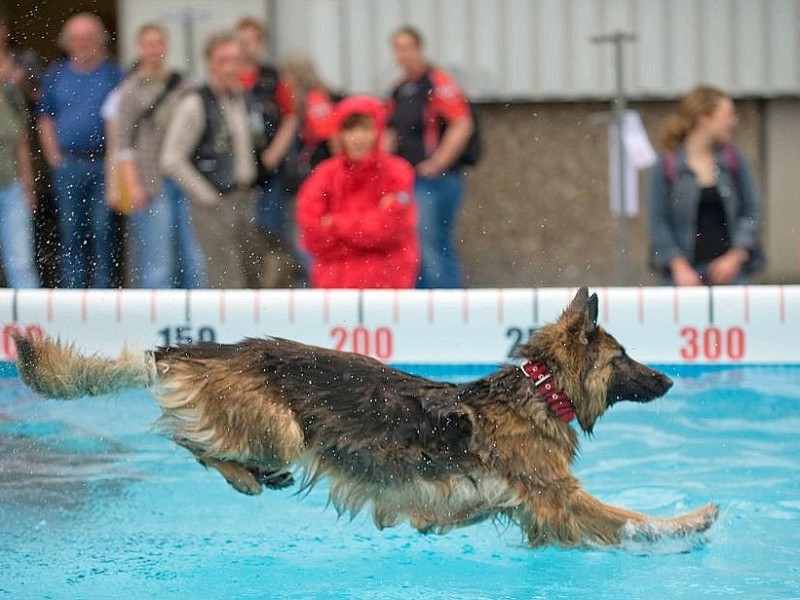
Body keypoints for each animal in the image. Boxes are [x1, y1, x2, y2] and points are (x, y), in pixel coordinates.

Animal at [12, 288, 720, 548]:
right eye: (624, 357)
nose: (670, 378)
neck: (540, 390)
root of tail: (192, 347)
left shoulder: (532, 513)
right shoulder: (561, 499)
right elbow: (628, 519)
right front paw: (690, 522)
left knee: (194, 440)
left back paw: (248, 477)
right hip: (282, 430)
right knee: (195, 441)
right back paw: (245, 477)